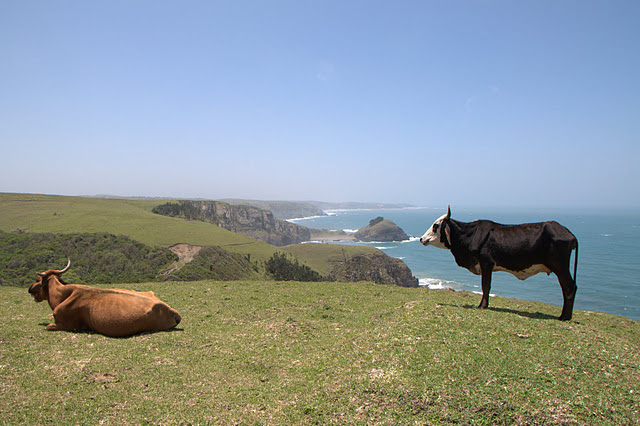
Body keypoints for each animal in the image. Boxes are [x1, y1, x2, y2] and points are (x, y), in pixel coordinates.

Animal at [28, 258, 181, 338]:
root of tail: (172, 311)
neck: (62, 295)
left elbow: (48, 326)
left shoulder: (69, 325)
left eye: (37, 280)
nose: (29, 288)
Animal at [420, 206, 580, 320]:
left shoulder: (486, 263)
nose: (422, 239)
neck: (470, 234)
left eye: (435, 225)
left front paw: (482, 306)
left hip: (560, 266)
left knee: (569, 287)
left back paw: (564, 316)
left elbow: (486, 286)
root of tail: (569, 233)